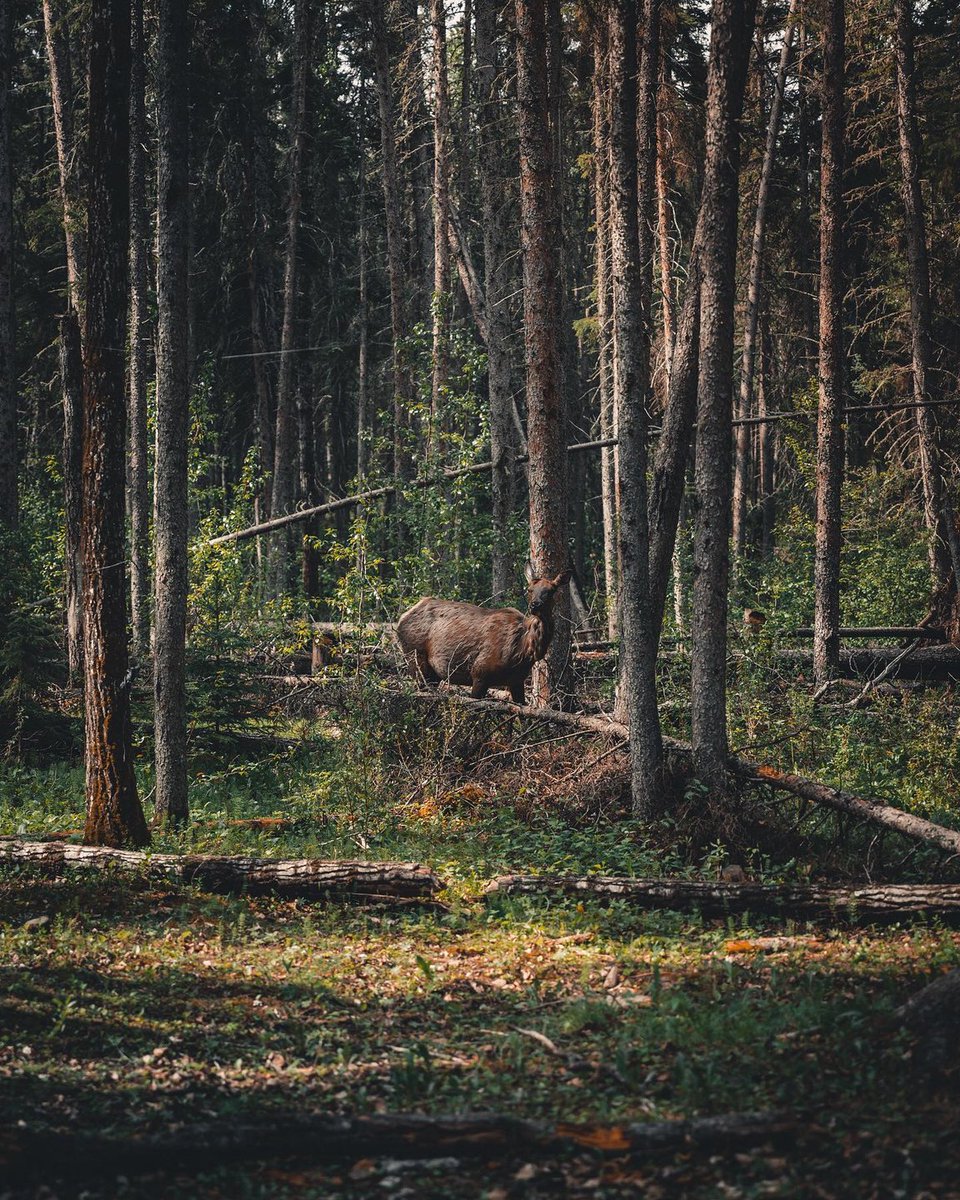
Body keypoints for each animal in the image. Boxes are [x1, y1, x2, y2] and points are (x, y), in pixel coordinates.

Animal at [396, 561, 573, 700]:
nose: (535, 605)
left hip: (432, 673)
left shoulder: (517, 681)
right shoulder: (480, 673)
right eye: (529, 589)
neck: (523, 651)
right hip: (416, 658)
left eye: (551, 591)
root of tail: (401, 618)